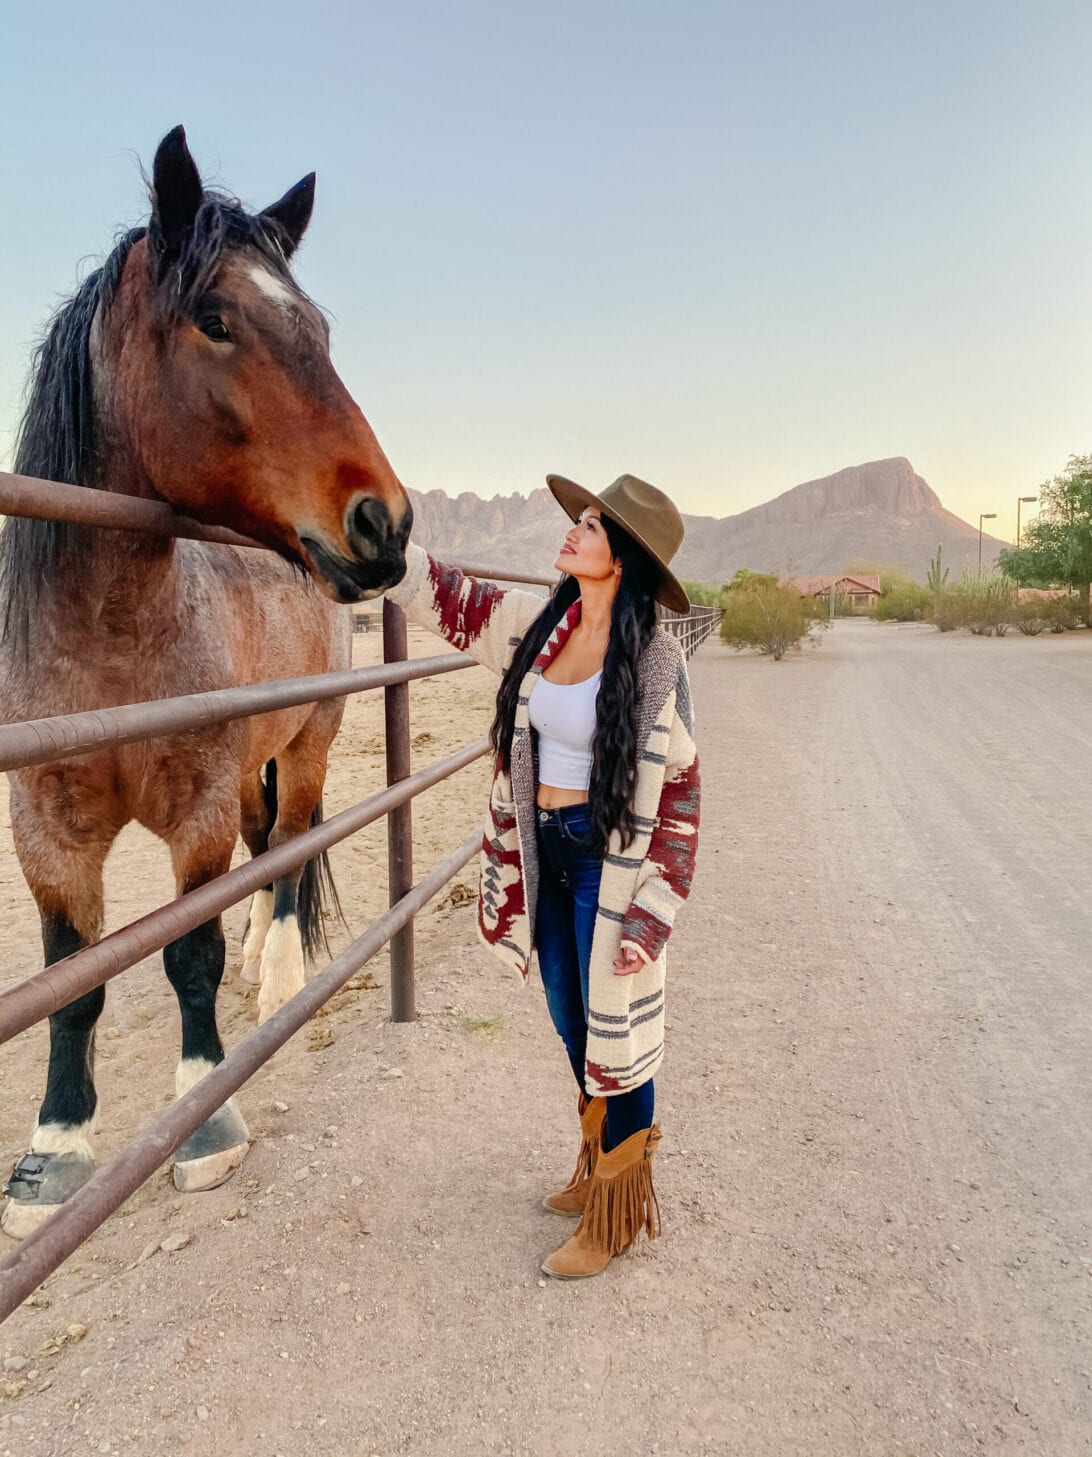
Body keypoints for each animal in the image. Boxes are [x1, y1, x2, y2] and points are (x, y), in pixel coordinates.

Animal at [2, 128, 411, 1241]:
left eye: (319, 327)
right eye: (216, 320)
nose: (386, 520)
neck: (107, 646)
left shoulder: (195, 812)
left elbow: (189, 952)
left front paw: (205, 1117)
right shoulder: (44, 827)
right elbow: (70, 979)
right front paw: (54, 1148)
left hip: (305, 743)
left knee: (290, 853)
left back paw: (282, 976)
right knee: (270, 852)